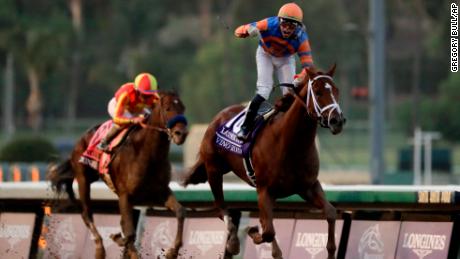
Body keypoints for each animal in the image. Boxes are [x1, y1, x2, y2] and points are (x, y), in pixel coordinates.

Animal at [48, 91, 187, 259]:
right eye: (167, 108)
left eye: (183, 108)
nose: (181, 134)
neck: (147, 154)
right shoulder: (125, 195)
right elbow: (129, 232)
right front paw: (120, 240)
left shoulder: (159, 192)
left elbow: (180, 211)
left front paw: (172, 251)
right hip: (83, 179)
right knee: (86, 214)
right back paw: (100, 249)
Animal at [183, 65, 344, 259]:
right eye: (318, 92)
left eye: (336, 90)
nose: (337, 121)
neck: (290, 143)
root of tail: (218, 117)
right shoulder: (264, 190)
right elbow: (267, 231)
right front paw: (251, 231)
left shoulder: (308, 186)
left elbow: (331, 213)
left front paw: (331, 250)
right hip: (213, 170)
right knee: (222, 209)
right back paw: (233, 242)